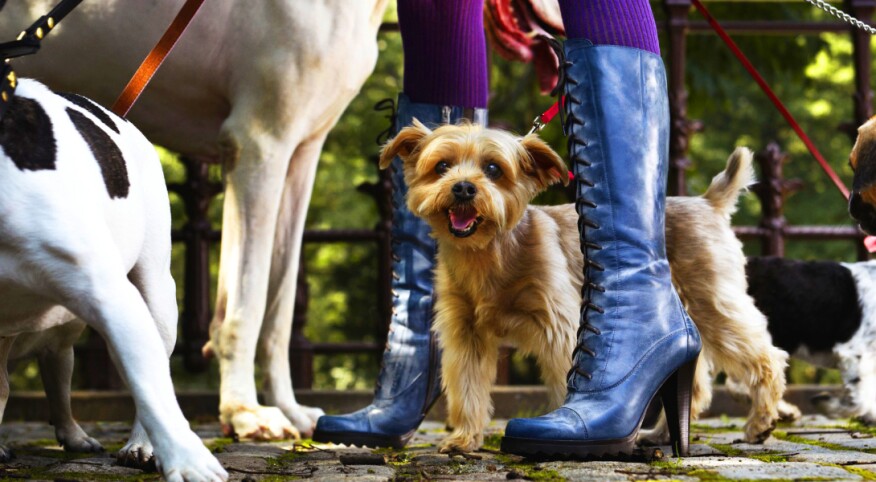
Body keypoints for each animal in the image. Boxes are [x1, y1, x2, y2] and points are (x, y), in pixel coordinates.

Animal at [376, 120, 788, 452]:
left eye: (494, 169)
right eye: (441, 166)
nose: (463, 188)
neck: (488, 252)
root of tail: (708, 202)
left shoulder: (560, 325)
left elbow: (565, 379)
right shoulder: (467, 334)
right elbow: (467, 388)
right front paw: (464, 439)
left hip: (712, 303)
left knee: (765, 355)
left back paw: (761, 421)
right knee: (697, 379)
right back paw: (660, 434)